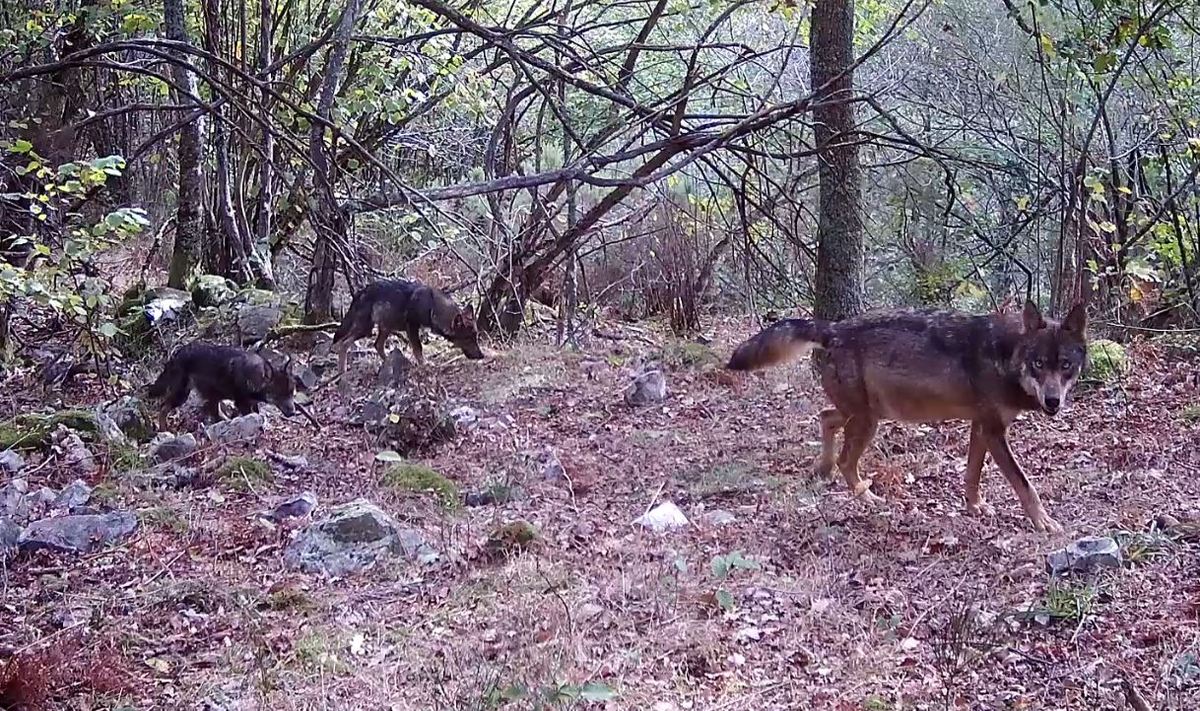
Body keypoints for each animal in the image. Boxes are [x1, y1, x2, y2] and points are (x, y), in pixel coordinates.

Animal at [147, 341, 302, 429]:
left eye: (291, 392)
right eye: (278, 395)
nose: (293, 413)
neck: (252, 376)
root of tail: (177, 354)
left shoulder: (252, 403)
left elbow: (257, 414)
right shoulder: (242, 404)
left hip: (209, 395)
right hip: (182, 395)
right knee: (163, 408)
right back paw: (164, 431)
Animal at [331, 276, 484, 377]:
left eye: (476, 337)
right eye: (468, 338)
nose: (481, 356)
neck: (432, 307)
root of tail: (361, 292)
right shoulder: (412, 327)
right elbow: (418, 348)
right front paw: (424, 364)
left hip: (384, 328)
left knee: (377, 345)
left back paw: (389, 363)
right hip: (366, 328)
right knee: (343, 343)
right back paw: (342, 372)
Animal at [724, 296, 1094, 530]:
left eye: (1065, 365)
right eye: (1038, 364)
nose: (1052, 402)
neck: (1006, 355)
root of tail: (833, 329)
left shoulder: (981, 427)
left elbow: (972, 475)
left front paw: (975, 507)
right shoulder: (993, 431)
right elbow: (1024, 483)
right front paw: (1044, 522)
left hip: (865, 414)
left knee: (826, 418)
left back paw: (823, 469)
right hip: (869, 421)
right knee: (845, 457)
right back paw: (867, 497)